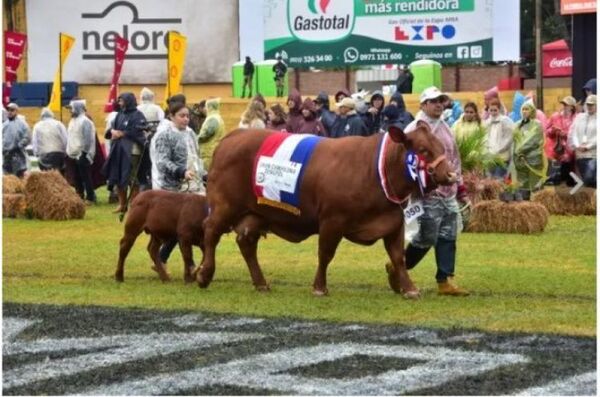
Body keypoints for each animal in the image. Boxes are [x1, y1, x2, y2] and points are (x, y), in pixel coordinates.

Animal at [197, 124, 454, 296]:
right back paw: (204, 274)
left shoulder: (393, 222)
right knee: (210, 232)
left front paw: (409, 288)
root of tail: (233, 136)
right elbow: (325, 254)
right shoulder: (332, 220)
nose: (452, 174)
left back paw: (260, 282)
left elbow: (398, 257)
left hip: (256, 215)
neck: (375, 170)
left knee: (246, 243)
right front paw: (320, 287)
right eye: (423, 150)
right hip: (224, 206)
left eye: (441, 146)